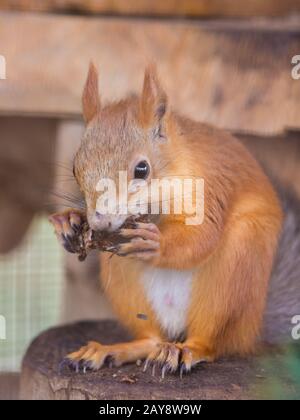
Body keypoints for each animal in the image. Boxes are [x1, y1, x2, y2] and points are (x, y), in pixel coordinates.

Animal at [49, 63, 284, 378]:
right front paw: (68, 221)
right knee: (150, 339)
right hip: (125, 280)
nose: (99, 222)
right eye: (75, 168)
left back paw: (188, 350)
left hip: (236, 269)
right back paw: (112, 350)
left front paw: (156, 244)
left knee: (211, 340)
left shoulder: (209, 189)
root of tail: (253, 330)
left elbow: (202, 237)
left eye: (142, 169)